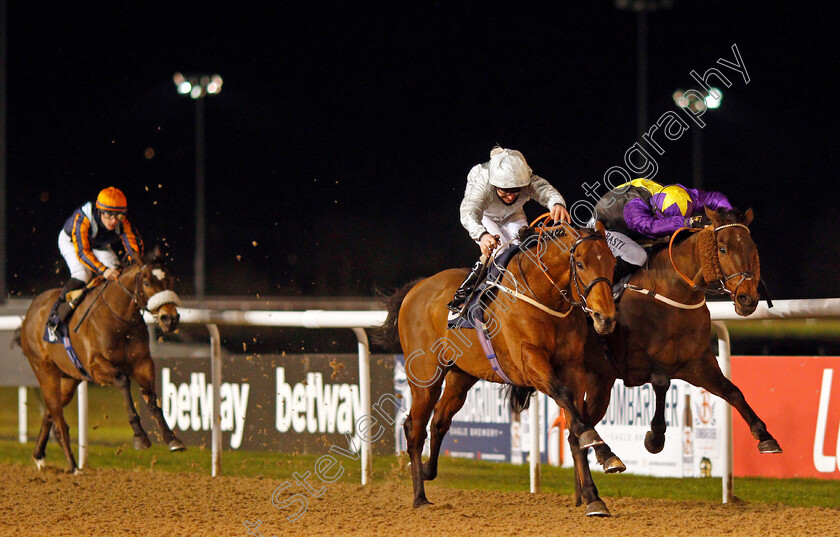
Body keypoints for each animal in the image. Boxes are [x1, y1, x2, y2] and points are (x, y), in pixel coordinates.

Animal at [14, 247, 185, 474]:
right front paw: (140, 436)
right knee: (59, 420)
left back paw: (40, 456)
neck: (119, 319)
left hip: (69, 378)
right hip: (45, 371)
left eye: (171, 280)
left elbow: (152, 398)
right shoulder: (96, 366)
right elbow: (123, 380)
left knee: (49, 414)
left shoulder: (143, 362)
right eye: (147, 283)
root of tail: (30, 313)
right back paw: (73, 466)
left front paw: (172, 439)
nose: (170, 318)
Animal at [378, 221, 620, 516]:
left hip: (461, 376)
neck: (543, 296)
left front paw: (594, 494)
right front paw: (601, 449)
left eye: (611, 263)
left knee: (440, 421)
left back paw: (426, 470)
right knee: (414, 427)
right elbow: (567, 402)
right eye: (582, 264)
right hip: (426, 377)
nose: (605, 318)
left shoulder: (572, 368)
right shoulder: (530, 365)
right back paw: (419, 497)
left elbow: (576, 424)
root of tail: (417, 287)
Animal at [572, 206, 780, 510]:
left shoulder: (699, 364)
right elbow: (661, 382)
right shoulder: (636, 365)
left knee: (576, 432)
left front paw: (765, 437)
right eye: (722, 248)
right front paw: (655, 437)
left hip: (600, 382)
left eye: (753, 248)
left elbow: (734, 392)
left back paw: (585, 494)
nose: (747, 299)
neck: (674, 295)